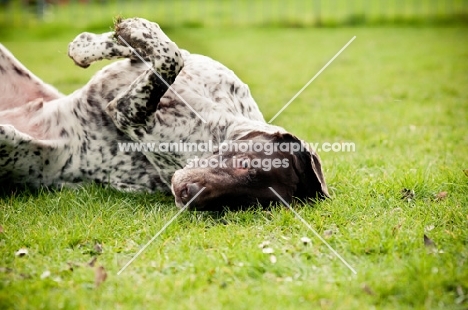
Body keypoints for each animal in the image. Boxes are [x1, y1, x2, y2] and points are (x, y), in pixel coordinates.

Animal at [0, 17, 330, 211]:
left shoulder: (127, 113)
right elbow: (164, 51)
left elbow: (168, 59)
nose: (187, 197)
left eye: (244, 203)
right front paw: (90, 44)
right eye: (245, 164)